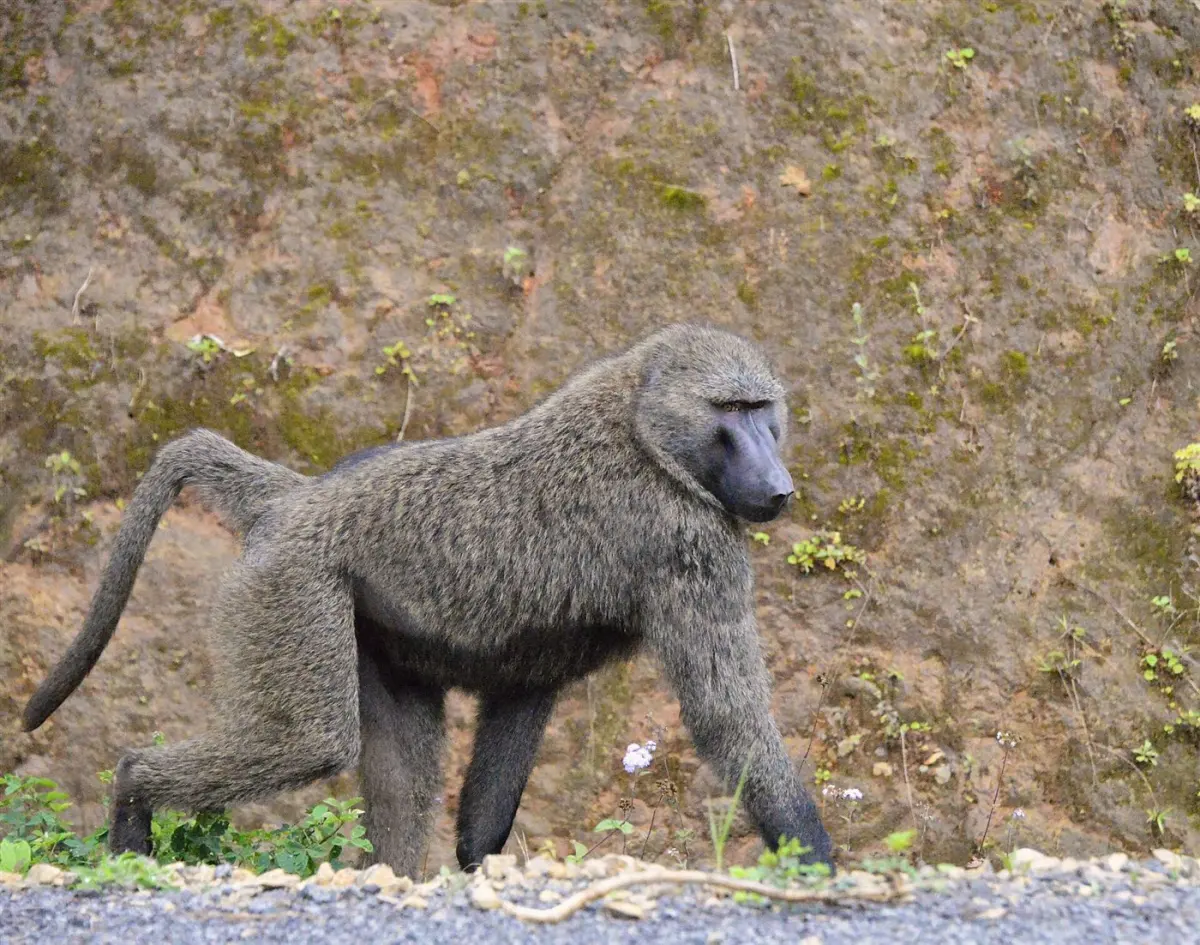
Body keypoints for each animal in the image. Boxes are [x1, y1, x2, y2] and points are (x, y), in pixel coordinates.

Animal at [21, 322, 835, 876]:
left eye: (764, 410)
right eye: (731, 411)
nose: (778, 486)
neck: (643, 430)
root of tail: (294, 501)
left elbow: (512, 724)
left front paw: (478, 865)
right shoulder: (691, 543)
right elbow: (727, 718)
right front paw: (819, 866)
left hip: (357, 622)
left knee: (396, 770)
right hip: (292, 584)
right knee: (310, 740)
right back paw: (134, 803)